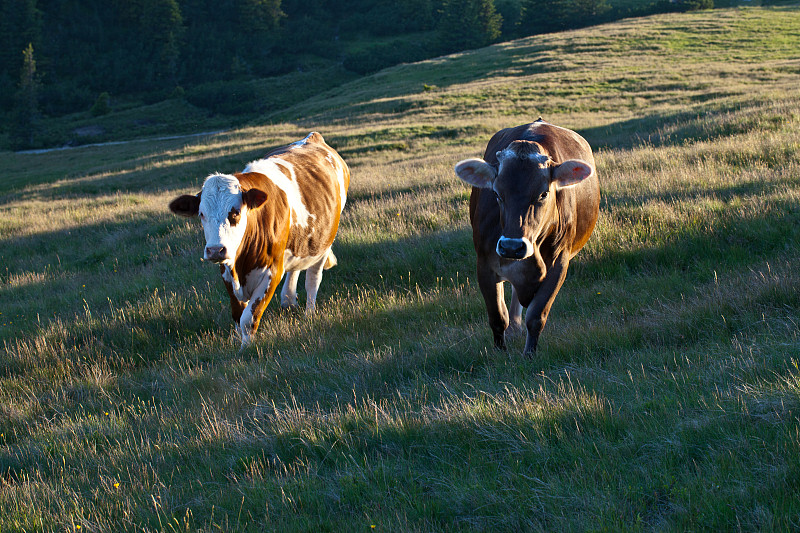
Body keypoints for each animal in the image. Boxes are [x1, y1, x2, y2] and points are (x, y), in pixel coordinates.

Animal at [169, 132, 350, 348]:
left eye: (235, 212)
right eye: (201, 214)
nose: (215, 250)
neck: (241, 265)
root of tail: (312, 137)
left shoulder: (272, 271)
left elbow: (249, 318)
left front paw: (245, 349)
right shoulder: (226, 272)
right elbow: (238, 315)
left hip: (324, 243)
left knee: (313, 279)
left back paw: (309, 314)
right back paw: (289, 300)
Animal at [456, 118, 600, 356]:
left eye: (543, 193)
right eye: (496, 193)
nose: (512, 247)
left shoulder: (559, 265)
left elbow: (536, 316)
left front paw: (530, 355)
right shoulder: (484, 265)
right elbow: (497, 317)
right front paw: (500, 352)